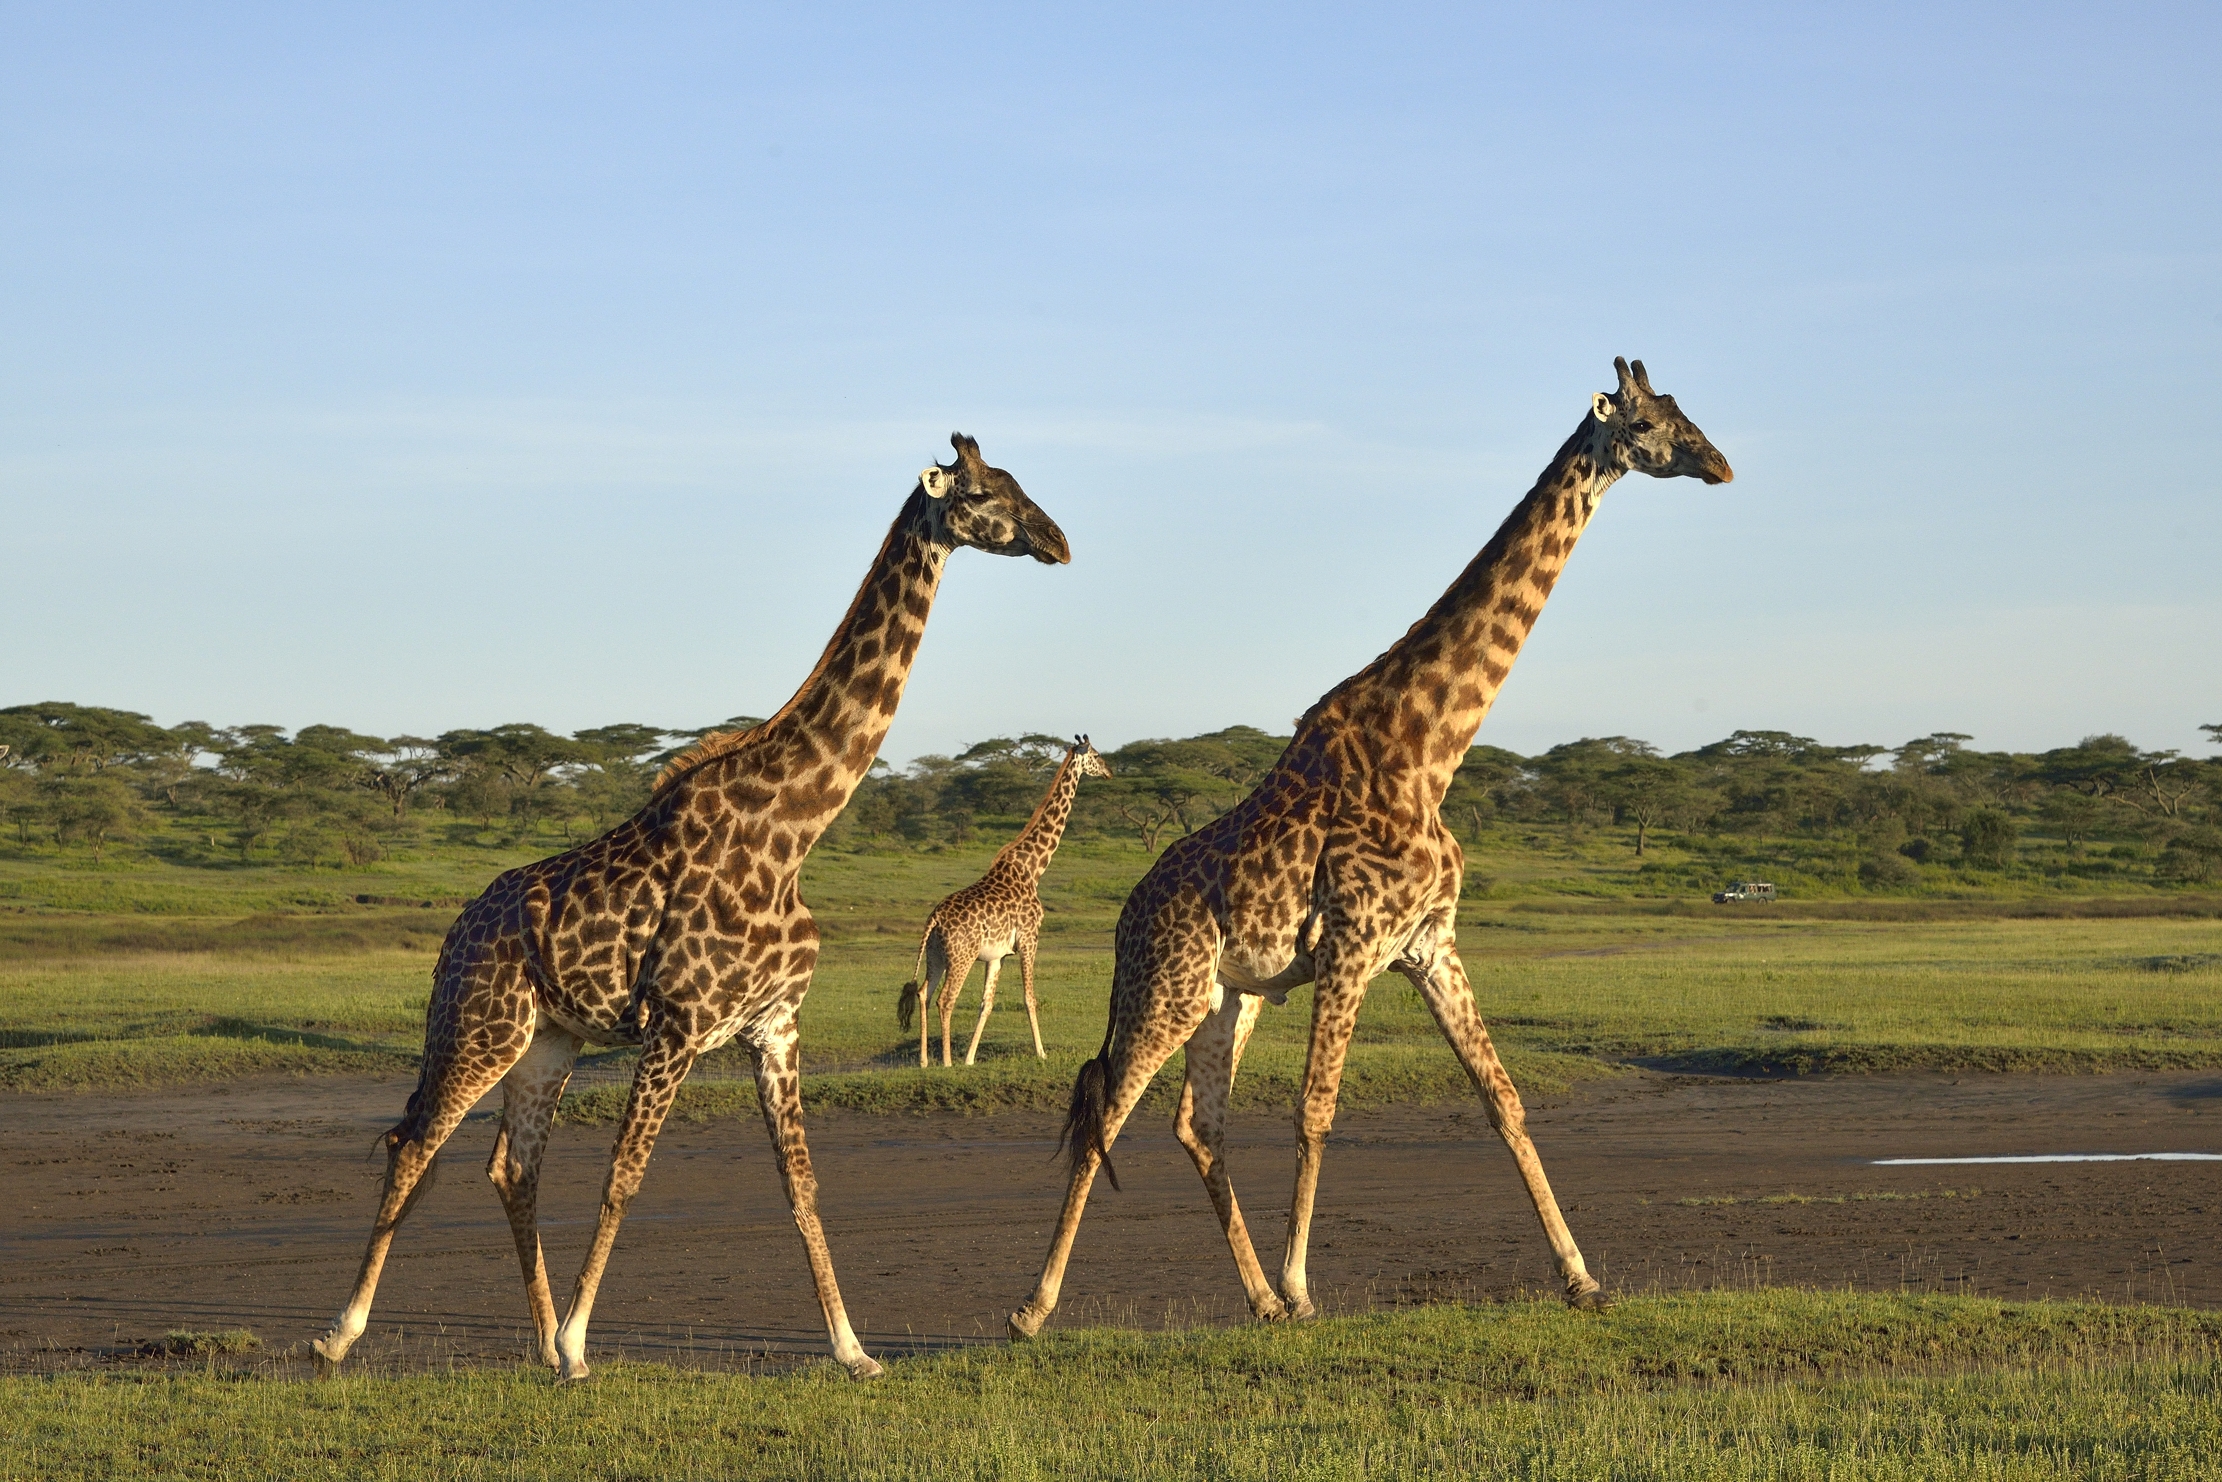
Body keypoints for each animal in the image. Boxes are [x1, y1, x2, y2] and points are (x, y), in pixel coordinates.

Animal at [310, 433, 1069, 1382]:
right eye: (980, 492)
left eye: (1015, 480)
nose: (1056, 541)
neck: (793, 831)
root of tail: (454, 935)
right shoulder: (676, 1023)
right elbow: (624, 1178)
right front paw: (582, 1340)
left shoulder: (774, 1026)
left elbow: (801, 1185)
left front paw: (854, 1351)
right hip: (479, 1029)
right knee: (414, 1144)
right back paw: (344, 1333)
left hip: (546, 1042)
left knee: (511, 1167)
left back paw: (539, 1344)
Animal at [896, 737, 1114, 1067]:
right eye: (1097, 755)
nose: (1109, 772)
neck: (1033, 868)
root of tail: (934, 919)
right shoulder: (1029, 939)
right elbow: (1029, 997)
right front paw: (1041, 1052)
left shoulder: (997, 956)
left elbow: (986, 1003)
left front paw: (970, 1058)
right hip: (961, 956)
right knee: (946, 999)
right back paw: (945, 1061)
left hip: (936, 955)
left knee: (923, 994)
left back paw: (923, 1061)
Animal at [1007, 359, 1732, 1339]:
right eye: (1652, 422)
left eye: (1684, 409)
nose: (1720, 464)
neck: (1428, 752)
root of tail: (1124, 919)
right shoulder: (1353, 943)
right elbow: (1317, 1111)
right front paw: (1306, 1287)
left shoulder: (1429, 944)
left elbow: (1504, 1099)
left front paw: (1582, 1278)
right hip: (1166, 989)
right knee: (1105, 1119)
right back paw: (1036, 1309)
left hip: (1230, 997)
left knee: (1198, 1125)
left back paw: (1258, 1302)